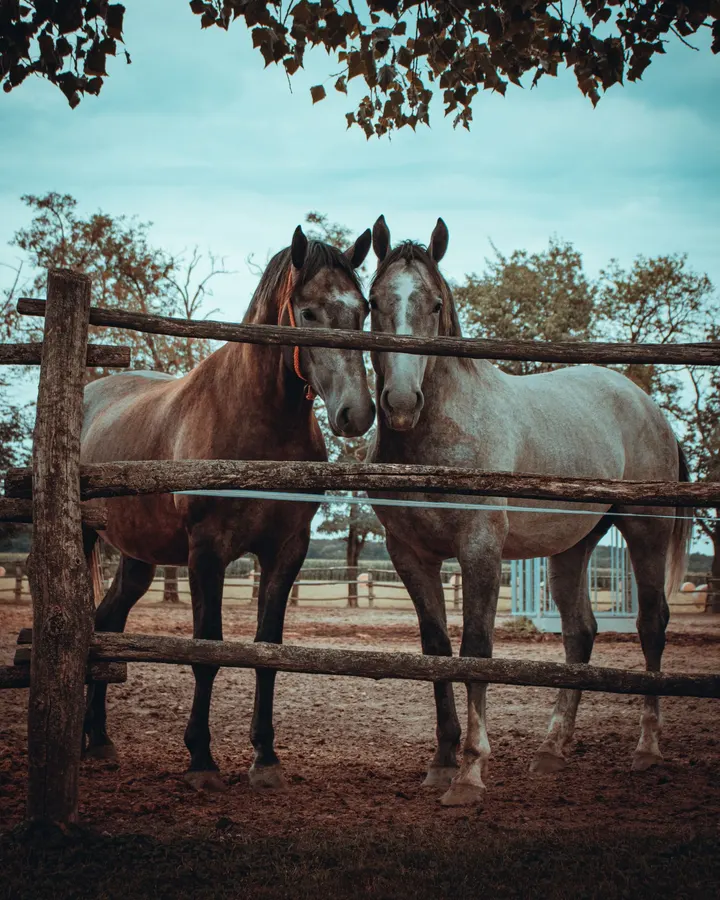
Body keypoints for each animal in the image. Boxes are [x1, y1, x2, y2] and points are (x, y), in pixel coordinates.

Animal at [81, 225, 375, 791]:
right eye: (308, 312)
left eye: (364, 309)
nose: (357, 413)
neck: (257, 425)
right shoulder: (207, 552)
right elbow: (207, 651)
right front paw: (201, 758)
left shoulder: (287, 551)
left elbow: (267, 650)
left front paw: (265, 757)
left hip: (137, 560)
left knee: (107, 624)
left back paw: (99, 739)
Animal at [366, 215, 691, 807]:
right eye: (375, 301)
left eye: (434, 305)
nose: (400, 404)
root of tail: (647, 405)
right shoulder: (411, 555)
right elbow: (437, 648)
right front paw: (442, 762)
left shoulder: (479, 550)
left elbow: (476, 648)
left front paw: (471, 771)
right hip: (574, 546)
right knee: (580, 632)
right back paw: (551, 749)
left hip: (645, 532)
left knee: (652, 624)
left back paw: (647, 748)